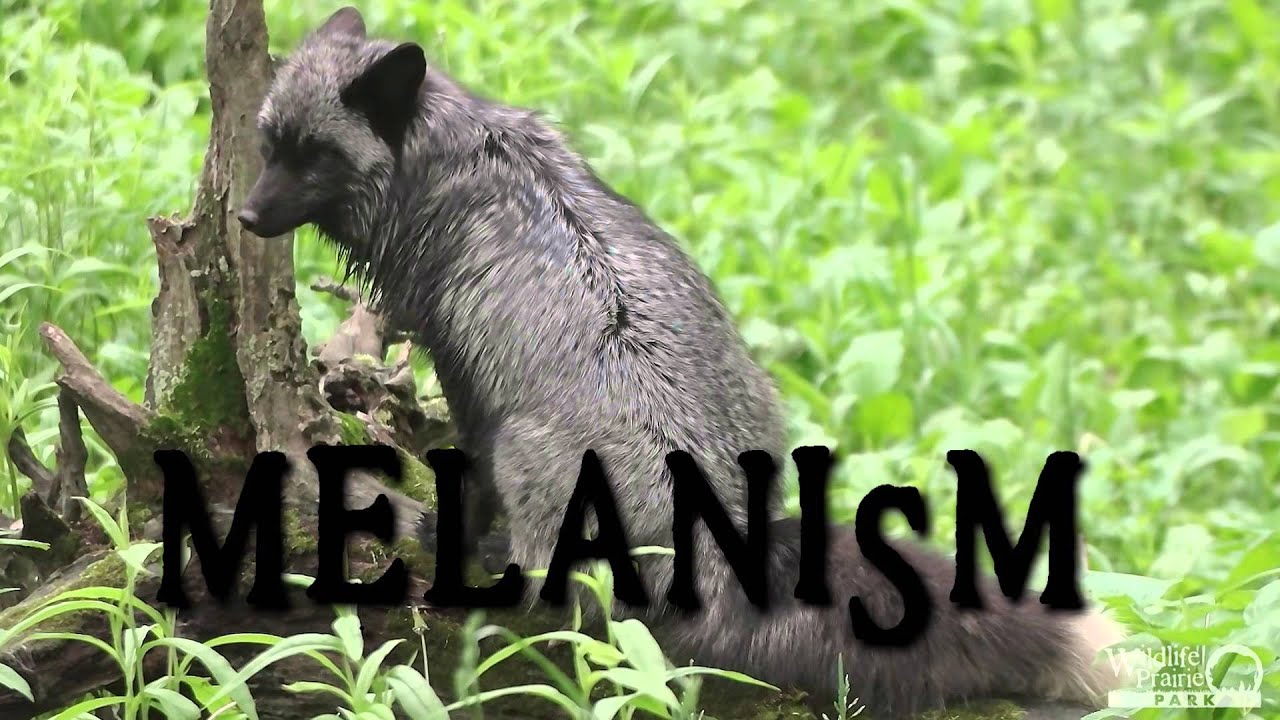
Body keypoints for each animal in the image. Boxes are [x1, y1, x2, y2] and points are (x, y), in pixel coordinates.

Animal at [238, 7, 1129, 718]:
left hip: (532, 452)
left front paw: (448, 530)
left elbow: (476, 477)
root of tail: (731, 535)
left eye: (314, 154)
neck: (452, 159)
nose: (244, 217)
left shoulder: (468, 375)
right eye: (268, 143)